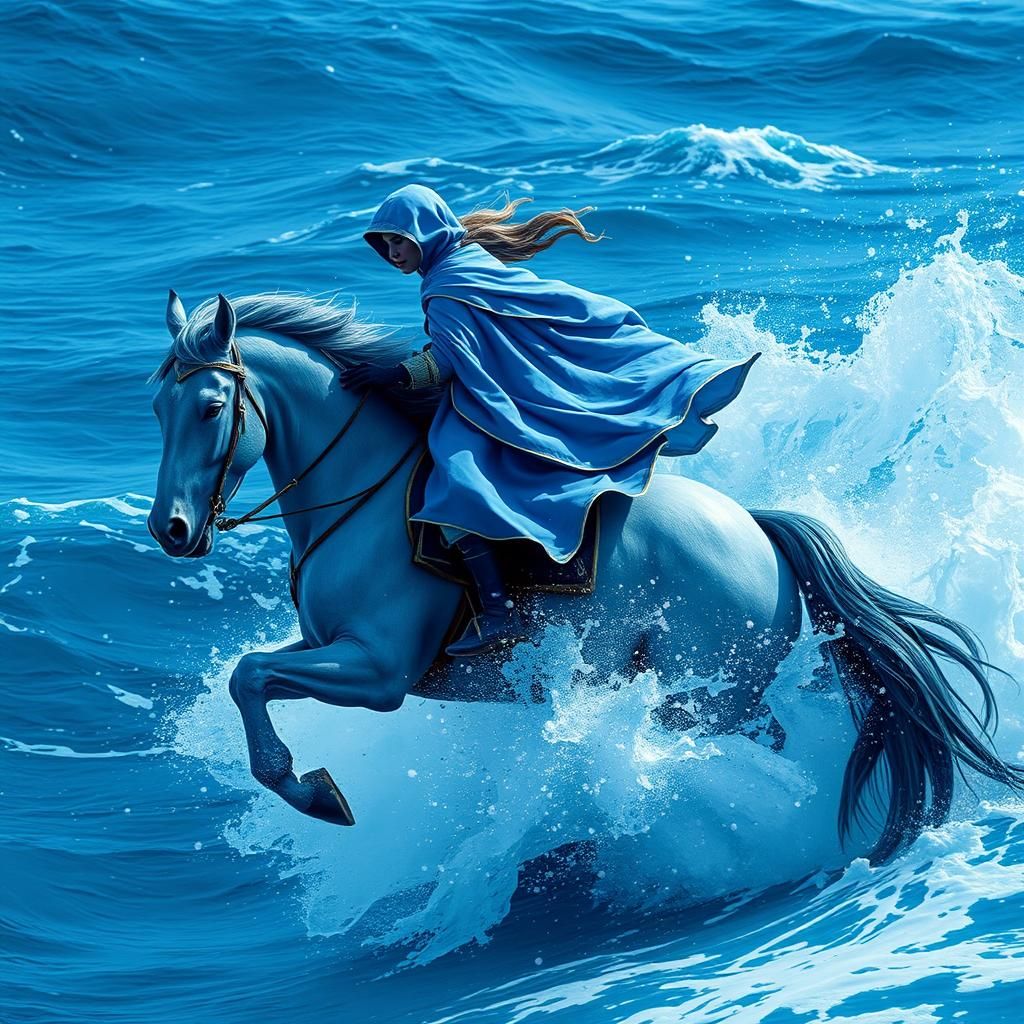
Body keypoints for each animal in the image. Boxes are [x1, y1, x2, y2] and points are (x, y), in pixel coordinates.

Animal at [147, 290, 1024, 864]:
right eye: (157, 408)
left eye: (210, 408)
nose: (171, 531)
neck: (360, 495)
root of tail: (759, 532)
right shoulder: (328, 647)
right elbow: (251, 675)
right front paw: (305, 782)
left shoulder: (380, 671)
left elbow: (249, 676)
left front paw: (310, 791)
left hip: (704, 693)